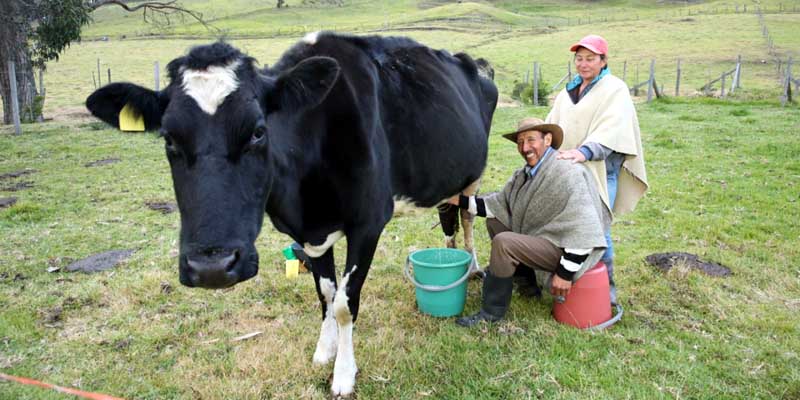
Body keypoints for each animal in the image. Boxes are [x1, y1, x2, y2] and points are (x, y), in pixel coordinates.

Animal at [83, 32, 494, 396]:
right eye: (168, 138)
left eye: (258, 132)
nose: (211, 267)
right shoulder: (308, 233)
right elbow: (326, 293)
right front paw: (324, 351)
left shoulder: (369, 222)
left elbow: (345, 303)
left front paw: (343, 375)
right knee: (448, 218)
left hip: (473, 175)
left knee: (468, 217)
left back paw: (472, 265)